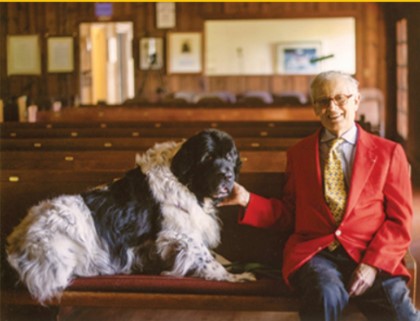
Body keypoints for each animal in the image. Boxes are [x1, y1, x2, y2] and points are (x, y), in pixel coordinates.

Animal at [6, 128, 254, 302]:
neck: (184, 179)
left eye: (230, 156)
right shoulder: (181, 234)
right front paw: (234, 277)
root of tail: (17, 240)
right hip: (60, 247)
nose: (227, 176)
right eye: (207, 157)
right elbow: (207, 258)